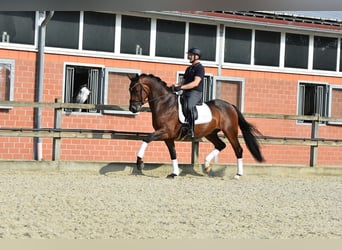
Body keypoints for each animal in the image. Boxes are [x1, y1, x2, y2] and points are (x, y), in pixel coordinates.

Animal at [128, 73, 264, 179]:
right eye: (130, 90)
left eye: (136, 90)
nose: (133, 109)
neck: (165, 104)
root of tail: (230, 105)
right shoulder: (168, 136)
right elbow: (173, 153)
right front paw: (174, 173)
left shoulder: (165, 131)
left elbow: (146, 139)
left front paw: (139, 163)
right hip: (210, 133)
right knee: (221, 145)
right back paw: (207, 166)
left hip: (230, 131)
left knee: (238, 149)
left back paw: (238, 174)